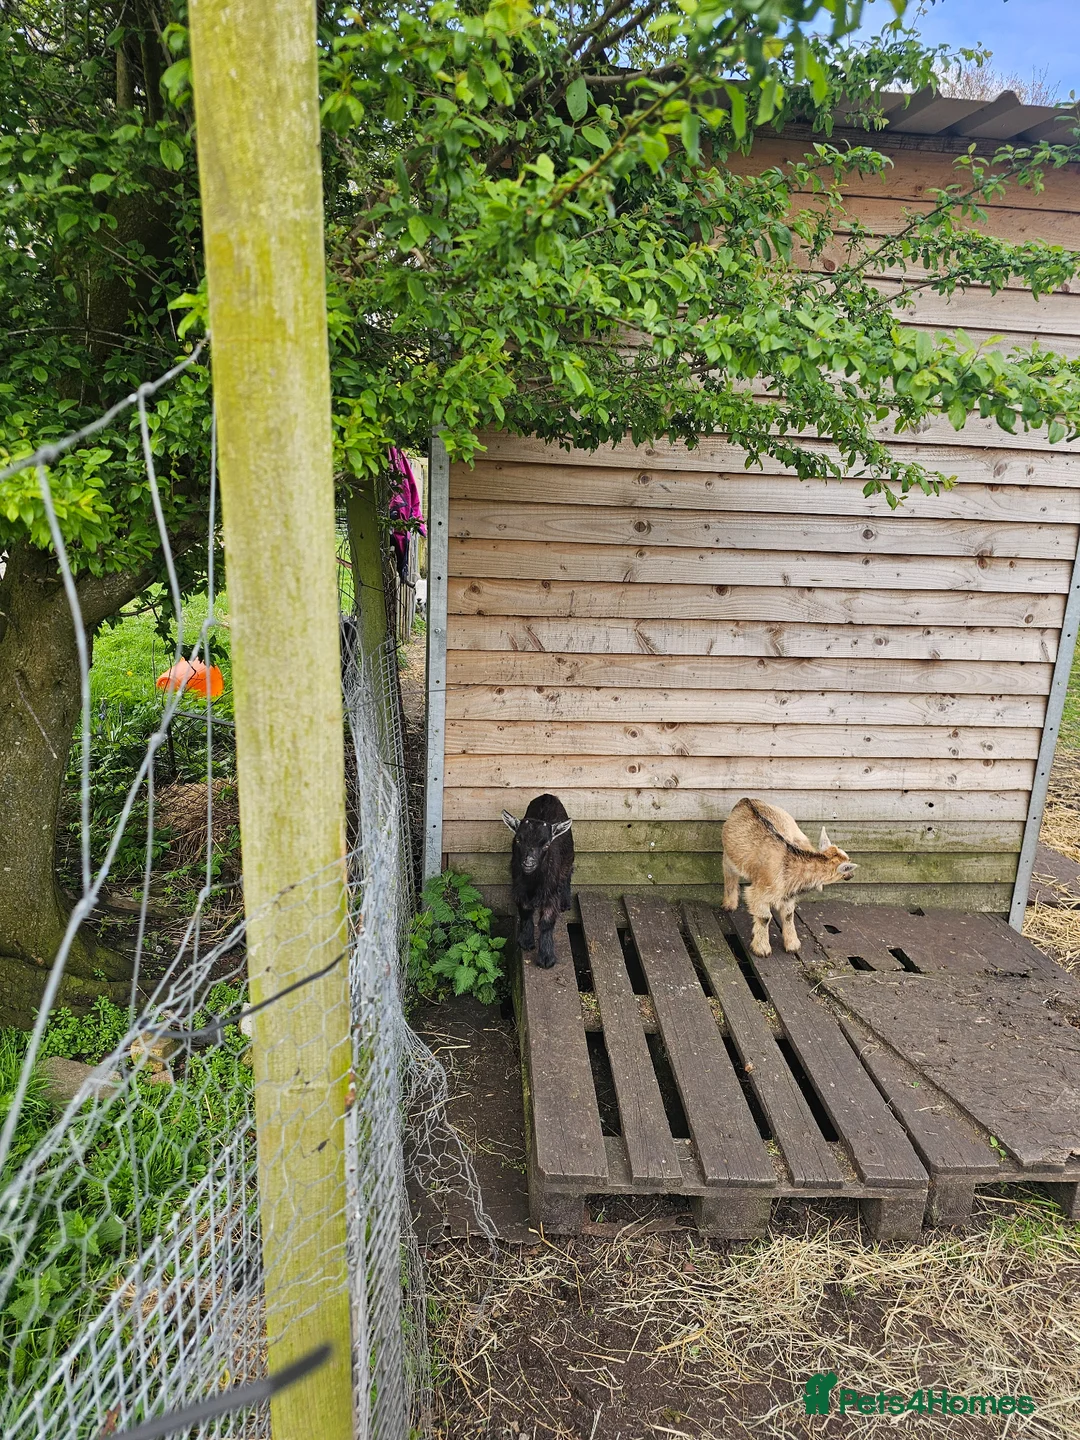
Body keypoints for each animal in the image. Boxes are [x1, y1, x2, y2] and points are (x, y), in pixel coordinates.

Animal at [502, 794, 574, 969]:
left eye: (546, 844)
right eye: (518, 840)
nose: (529, 863)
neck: (533, 882)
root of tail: (547, 796)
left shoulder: (551, 892)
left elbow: (547, 922)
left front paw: (546, 957)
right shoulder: (519, 888)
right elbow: (525, 911)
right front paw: (526, 941)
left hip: (569, 853)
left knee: (568, 872)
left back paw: (565, 902)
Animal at [721, 798, 858, 958]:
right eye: (847, 868)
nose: (851, 875)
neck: (789, 863)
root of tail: (747, 800)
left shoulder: (788, 892)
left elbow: (788, 915)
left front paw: (793, 945)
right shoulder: (759, 892)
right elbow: (764, 917)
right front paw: (762, 949)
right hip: (730, 855)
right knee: (729, 872)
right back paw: (729, 905)